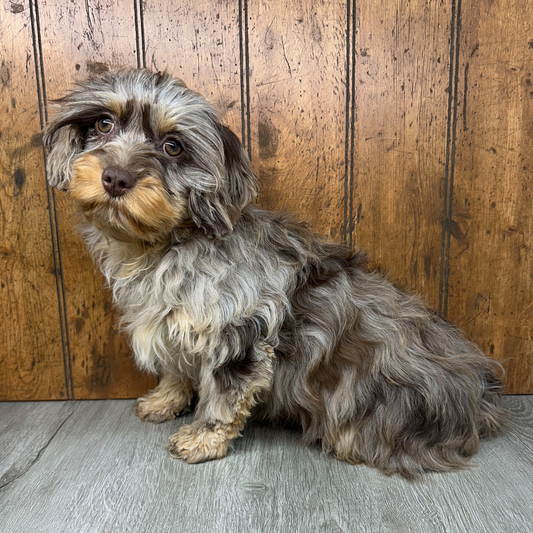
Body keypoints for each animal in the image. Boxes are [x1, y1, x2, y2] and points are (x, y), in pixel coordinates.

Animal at [43, 67, 504, 478]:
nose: (116, 178)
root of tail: (481, 394)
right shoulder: (171, 322)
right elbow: (175, 367)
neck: (171, 245)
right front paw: (164, 400)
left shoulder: (238, 334)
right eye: (103, 124)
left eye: (173, 146)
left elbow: (223, 397)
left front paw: (203, 439)